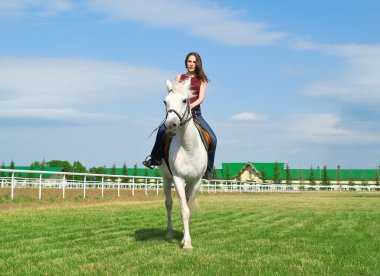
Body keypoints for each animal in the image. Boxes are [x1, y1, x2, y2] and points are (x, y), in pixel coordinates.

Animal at [160, 78, 208, 249]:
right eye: (165, 101)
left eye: (184, 100)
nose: (170, 125)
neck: (188, 147)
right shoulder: (178, 179)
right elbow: (183, 209)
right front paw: (187, 242)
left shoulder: (196, 181)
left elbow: (189, 207)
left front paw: (184, 238)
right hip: (166, 178)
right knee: (168, 203)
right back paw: (169, 233)